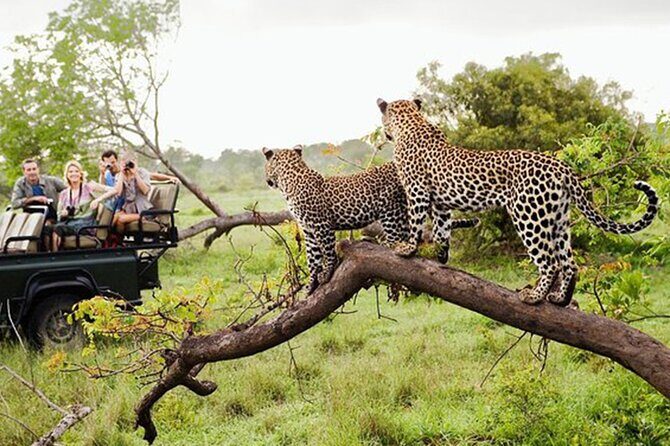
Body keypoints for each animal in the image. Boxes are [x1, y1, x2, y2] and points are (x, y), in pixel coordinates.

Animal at [263, 145, 478, 294]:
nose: (267, 181)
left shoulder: (321, 225)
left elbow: (327, 252)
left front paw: (327, 273)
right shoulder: (308, 230)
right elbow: (312, 258)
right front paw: (310, 285)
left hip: (390, 210)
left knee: (397, 240)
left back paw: (379, 243)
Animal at [376, 98, 659, 306]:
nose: (384, 133)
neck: (412, 122)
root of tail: (562, 167)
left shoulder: (417, 190)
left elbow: (416, 222)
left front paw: (407, 248)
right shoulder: (441, 202)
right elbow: (441, 230)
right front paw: (441, 255)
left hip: (528, 215)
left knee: (550, 262)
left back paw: (534, 297)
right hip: (558, 219)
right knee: (569, 263)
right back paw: (559, 299)